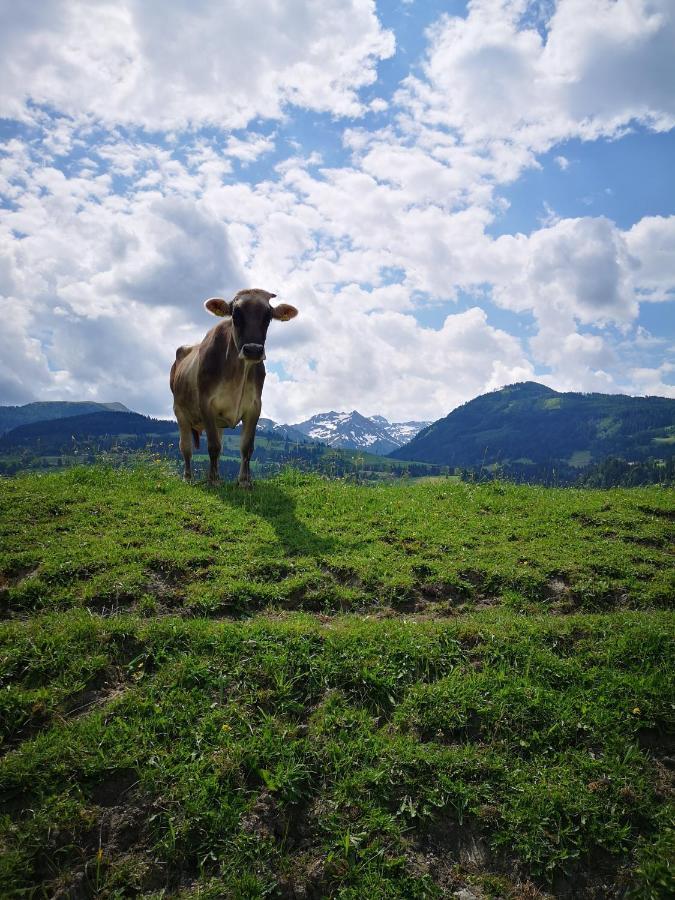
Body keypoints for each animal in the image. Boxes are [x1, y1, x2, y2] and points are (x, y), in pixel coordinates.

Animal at [169, 288, 298, 486]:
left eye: (268, 316)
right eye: (235, 315)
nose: (253, 350)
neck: (238, 374)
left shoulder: (254, 407)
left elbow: (246, 447)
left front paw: (244, 481)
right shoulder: (206, 404)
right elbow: (213, 446)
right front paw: (213, 480)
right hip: (180, 412)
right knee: (186, 448)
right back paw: (188, 477)